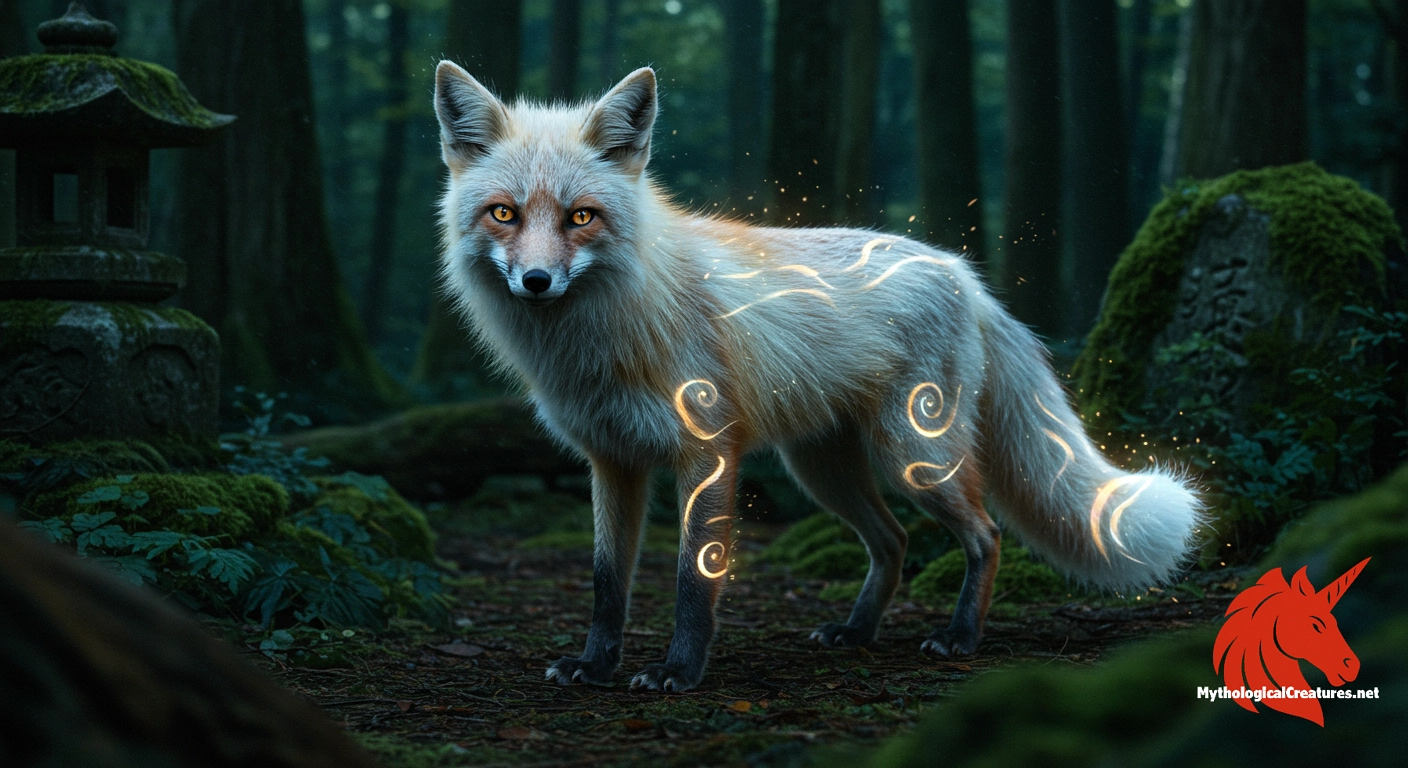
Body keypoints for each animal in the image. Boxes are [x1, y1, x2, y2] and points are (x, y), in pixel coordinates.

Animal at [431, 63, 1202, 693]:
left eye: (581, 217)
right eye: (504, 213)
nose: (536, 281)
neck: (607, 335)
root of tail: (963, 273)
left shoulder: (707, 452)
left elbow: (692, 580)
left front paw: (680, 672)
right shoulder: (613, 460)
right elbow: (604, 584)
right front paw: (595, 667)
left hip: (915, 455)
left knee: (985, 534)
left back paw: (960, 636)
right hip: (821, 469)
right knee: (892, 542)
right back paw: (857, 631)